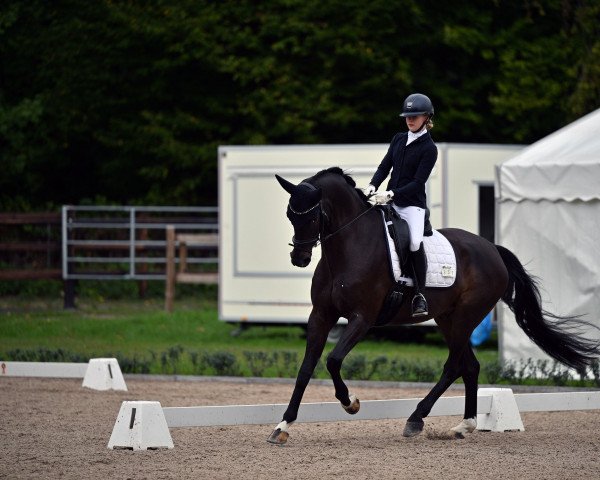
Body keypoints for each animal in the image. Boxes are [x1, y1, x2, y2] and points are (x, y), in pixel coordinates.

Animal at [268, 167, 600, 444]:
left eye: (312, 216)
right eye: (289, 215)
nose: (299, 258)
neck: (348, 248)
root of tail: (492, 249)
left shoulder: (362, 318)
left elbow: (333, 360)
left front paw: (351, 403)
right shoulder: (321, 316)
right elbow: (306, 368)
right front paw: (283, 426)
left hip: (466, 317)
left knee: (453, 366)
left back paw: (416, 419)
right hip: (448, 319)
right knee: (470, 366)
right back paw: (464, 425)